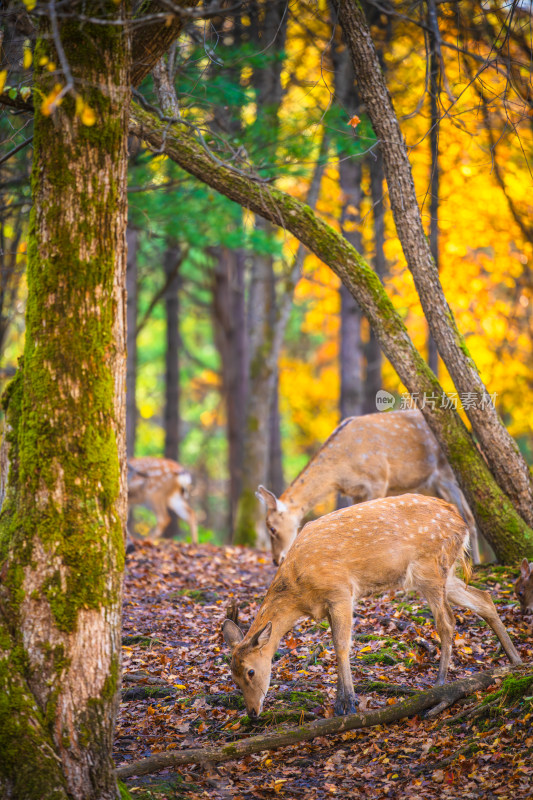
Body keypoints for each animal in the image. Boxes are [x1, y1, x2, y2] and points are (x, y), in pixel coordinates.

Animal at [221, 494, 520, 720]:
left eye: (250, 671)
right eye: (232, 676)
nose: (252, 713)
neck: (300, 593)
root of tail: (460, 521)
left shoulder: (340, 592)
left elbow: (341, 645)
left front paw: (348, 705)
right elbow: (334, 644)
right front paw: (341, 701)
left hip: (430, 567)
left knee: (447, 623)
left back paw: (439, 686)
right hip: (442, 573)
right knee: (484, 599)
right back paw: (515, 660)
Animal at [254, 410, 478, 564]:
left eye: (272, 528)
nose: (276, 560)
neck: (341, 469)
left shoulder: (378, 479)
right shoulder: (355, 492)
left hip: (448, 473)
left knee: (469, 515)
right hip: (427, 485)